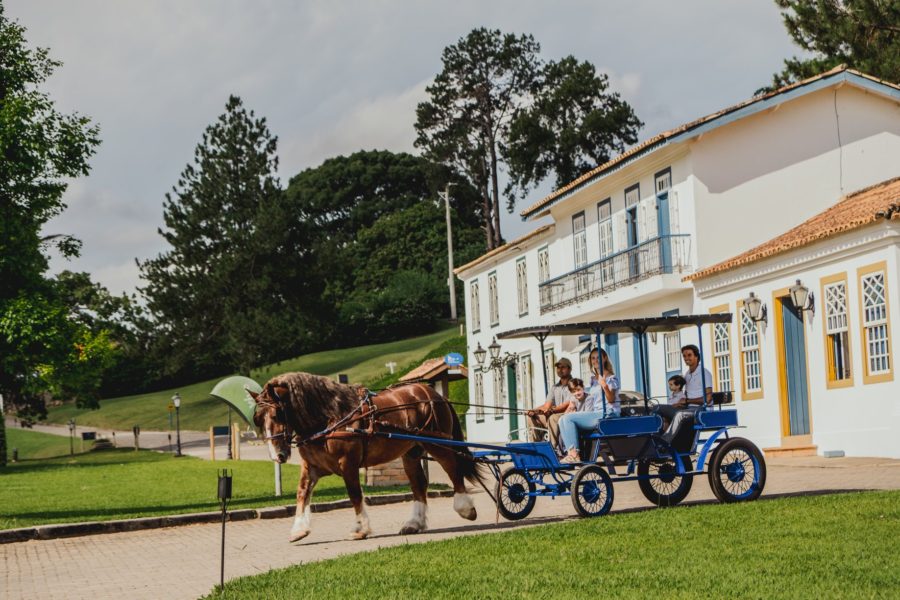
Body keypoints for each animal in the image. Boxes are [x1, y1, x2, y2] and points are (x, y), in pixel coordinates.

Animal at [250, 372, 482, 540]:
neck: (330, 418)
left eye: (277, 414)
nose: (277, 455)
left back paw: (465, 508)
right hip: (411, 453)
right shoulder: (311, 466)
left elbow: (354, 495)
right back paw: (414, 523)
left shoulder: (348, 464)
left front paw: (360, 529)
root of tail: (434, 394)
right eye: (259, 419)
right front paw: (299, 529)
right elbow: (302, 493)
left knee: (453, 470)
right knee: (418, 484)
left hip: (437, 444)